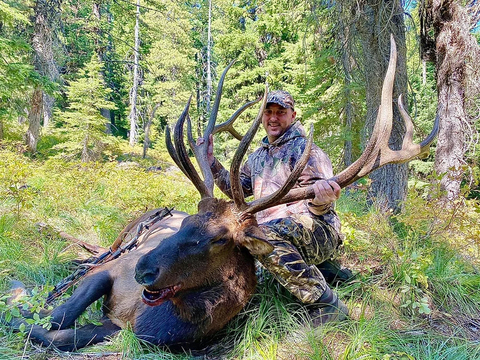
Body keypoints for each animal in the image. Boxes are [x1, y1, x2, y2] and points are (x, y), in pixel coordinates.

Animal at [7, 35, 438, 352]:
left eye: (218, 239)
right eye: (188, 222)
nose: (144, 269)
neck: (158, 317)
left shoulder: (129, 329)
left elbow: (58, 334)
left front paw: (19, 314)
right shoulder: (109, 273)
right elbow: (59, 315)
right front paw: (19, 306)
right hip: (120, 240)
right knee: (91, 255)